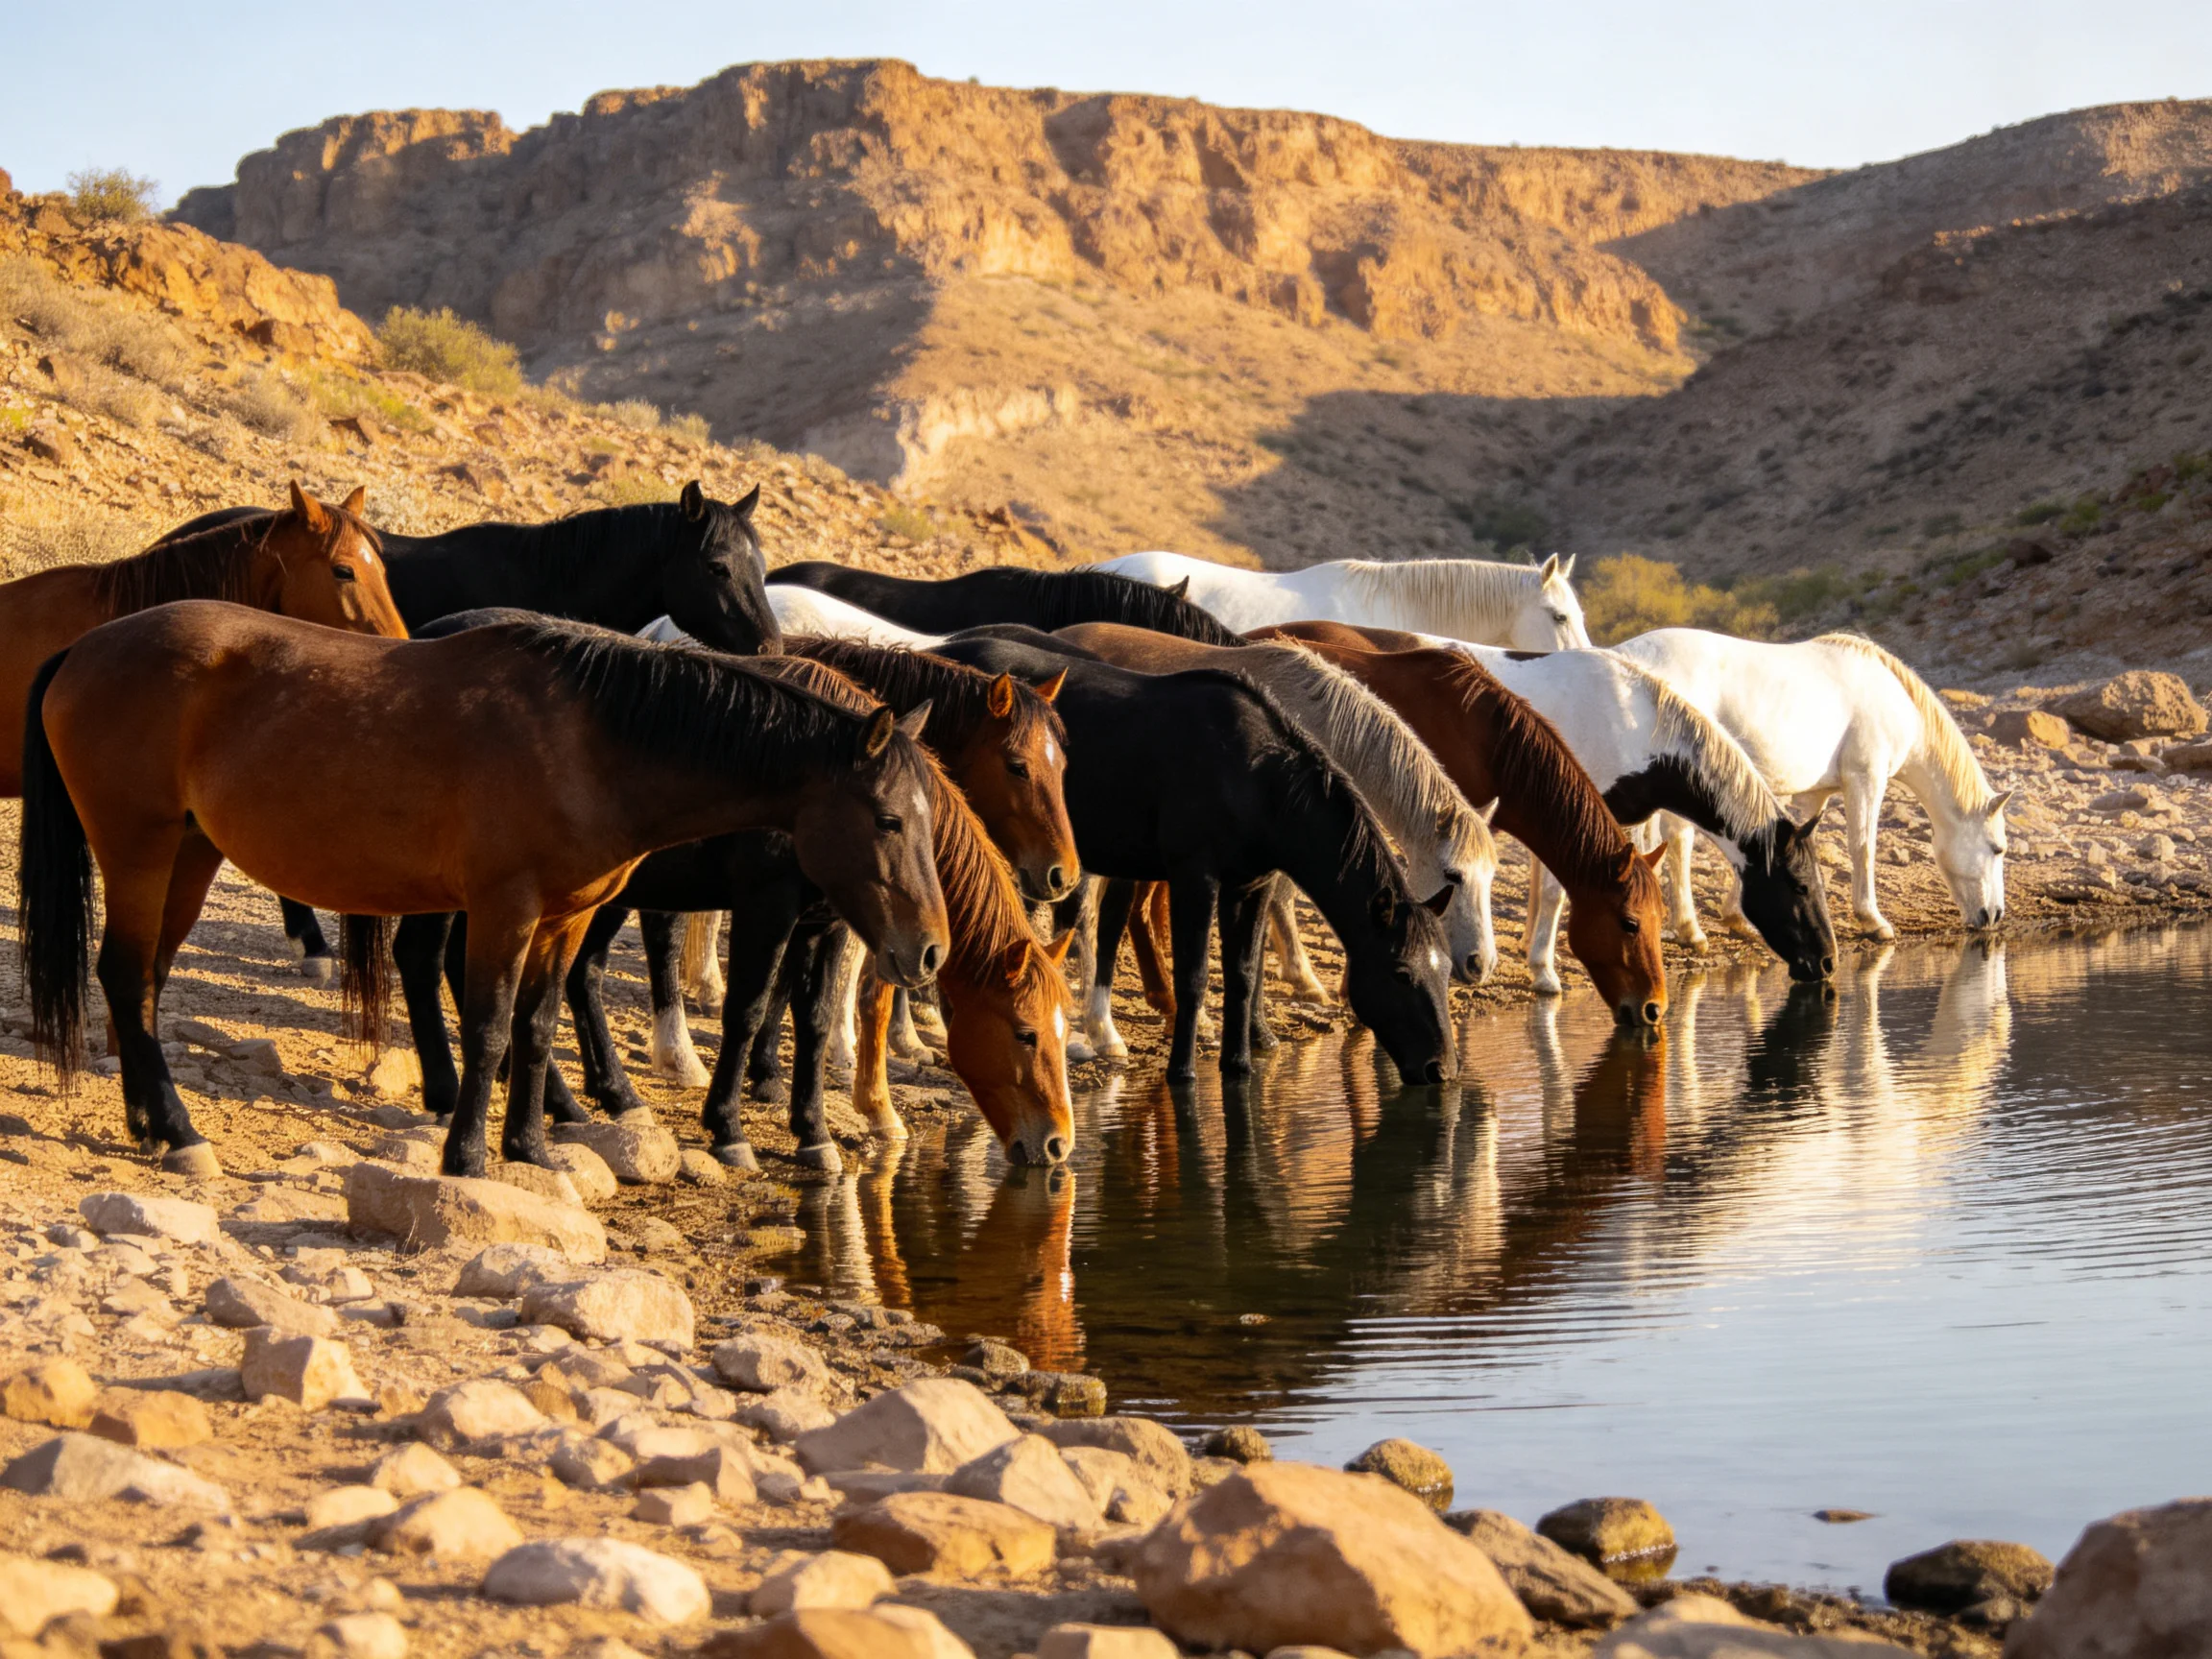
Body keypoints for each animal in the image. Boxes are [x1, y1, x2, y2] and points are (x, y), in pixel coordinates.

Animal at [17, 604, 947, 1179]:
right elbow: (492, 1026)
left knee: (142, 982)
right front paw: (466, 1155)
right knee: (124, 974)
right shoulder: (507, 909)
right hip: (138, 850)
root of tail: (83, 649)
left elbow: (536, 1029)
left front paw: (530, 1147)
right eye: (888, 819)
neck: (593, 739)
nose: (929, 949)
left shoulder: (567, 919)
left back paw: (150, 1123)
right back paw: (178, 1132)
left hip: (189, 854)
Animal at [923, 632, 1457, 1083]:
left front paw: (1239, 1065)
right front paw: (1182, 1072)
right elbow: (1195, 976)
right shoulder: (1194, 878)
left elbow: (1243, 975)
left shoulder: (1251, 884)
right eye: (1401, 973)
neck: (1253, 774)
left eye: (1445, 970)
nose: (1442, 1069)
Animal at [1049, 624, 1499, 997]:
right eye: (1452, 875)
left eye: (1490, 877)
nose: (1481, 964)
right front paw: (1304, 978)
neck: (1317, 723)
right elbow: (1283, 896)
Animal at [1610, 629, 2011, 938]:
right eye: (1997, 849)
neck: (1895, 701)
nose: (1994, 916)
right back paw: (1690, 930)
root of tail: (1625, 661)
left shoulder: (1813, 795)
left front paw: (1738, 918)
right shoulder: (1865, 779)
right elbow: (1863, 847)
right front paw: (1873, 921)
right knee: (1679, 840)